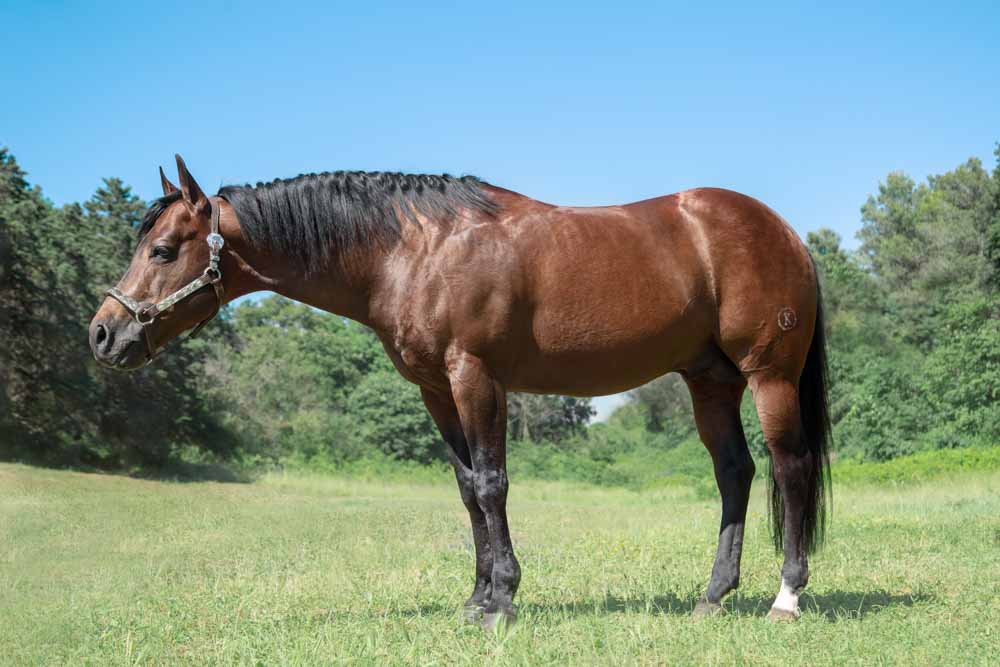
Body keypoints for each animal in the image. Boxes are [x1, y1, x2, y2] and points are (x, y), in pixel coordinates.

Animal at [92, 155, 828, 632]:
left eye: (163, 250)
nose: (103, 333)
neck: (413, 250)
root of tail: (784, 232)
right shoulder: (435, 391)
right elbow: (469, 488)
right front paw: (476, 598)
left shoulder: (475, 376)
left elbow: (495, 483)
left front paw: (502, 601)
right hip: (709, 381)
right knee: (735, 474)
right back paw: (712, 596)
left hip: (768, 376)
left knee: (790, 471)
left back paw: (785, 598)